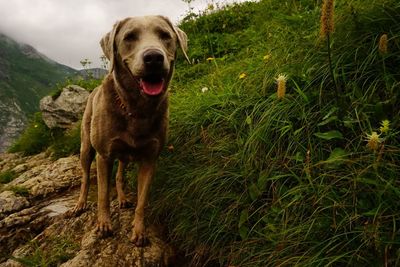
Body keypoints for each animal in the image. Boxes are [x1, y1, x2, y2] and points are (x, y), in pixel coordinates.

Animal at [71, 15, 189, 247]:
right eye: (129, 37)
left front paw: (139, 231)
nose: (153, 58)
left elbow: (142, 201)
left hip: (124, 155)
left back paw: (124, 198)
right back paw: (80, 203)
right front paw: (104, 225)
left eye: (165, 35)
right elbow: (103, 195)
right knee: (85, 176)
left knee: (119, 175)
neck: (136, 109)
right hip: (86, 147)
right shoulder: (103, 156)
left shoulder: (150, 160)